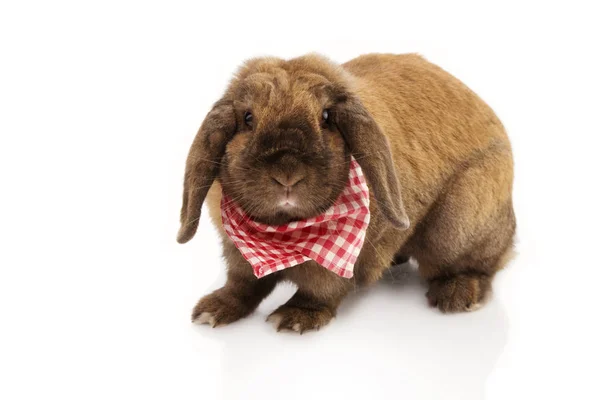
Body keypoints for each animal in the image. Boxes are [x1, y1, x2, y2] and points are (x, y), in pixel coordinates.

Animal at [177, 54, 516, 334]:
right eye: (247, 119)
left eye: (327, 117)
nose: (287, 175)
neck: (285, 236)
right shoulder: (238, 255)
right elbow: (241, 283)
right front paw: (213, 309)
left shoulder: (347, 262)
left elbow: (322, 289)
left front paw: (295, 317)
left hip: (455, 226)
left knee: (483, 263)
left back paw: (457, 294)